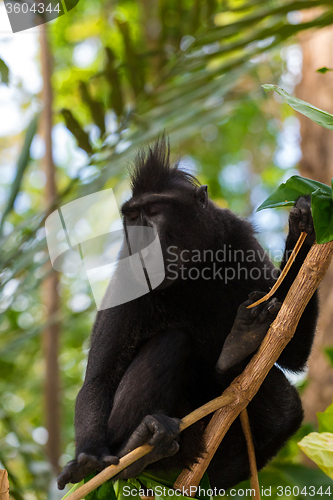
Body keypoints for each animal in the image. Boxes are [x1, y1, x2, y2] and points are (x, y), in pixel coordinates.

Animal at [57, 139, 316, 490]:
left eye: (154, 211)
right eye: (132, 216)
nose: (141, 235)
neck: (188, 274)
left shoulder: (237, 237)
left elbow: (292, 347)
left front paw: (306, 227)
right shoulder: (128, 272)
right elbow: (98, 379)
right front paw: (89, 456)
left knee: (285, 408)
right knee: (171, 341)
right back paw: (137, 451)